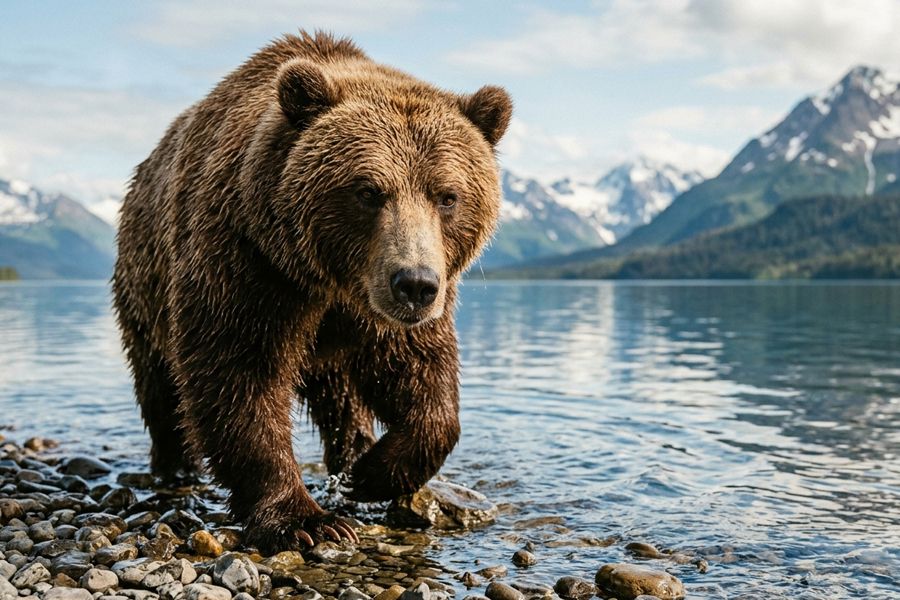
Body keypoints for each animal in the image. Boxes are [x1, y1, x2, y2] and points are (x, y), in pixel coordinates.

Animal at [112, 30, 512, 552]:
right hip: (144, 288)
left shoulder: (382, 310)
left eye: (447, 196)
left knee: (342, 400)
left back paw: (354, 451)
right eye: (368, 191)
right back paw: (175, 468)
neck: (330, 281)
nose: (415, 285)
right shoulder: (248, 265)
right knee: (160, 388)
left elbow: (423, 377)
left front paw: (372, 473)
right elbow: (239, 374)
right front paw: (303, 519)